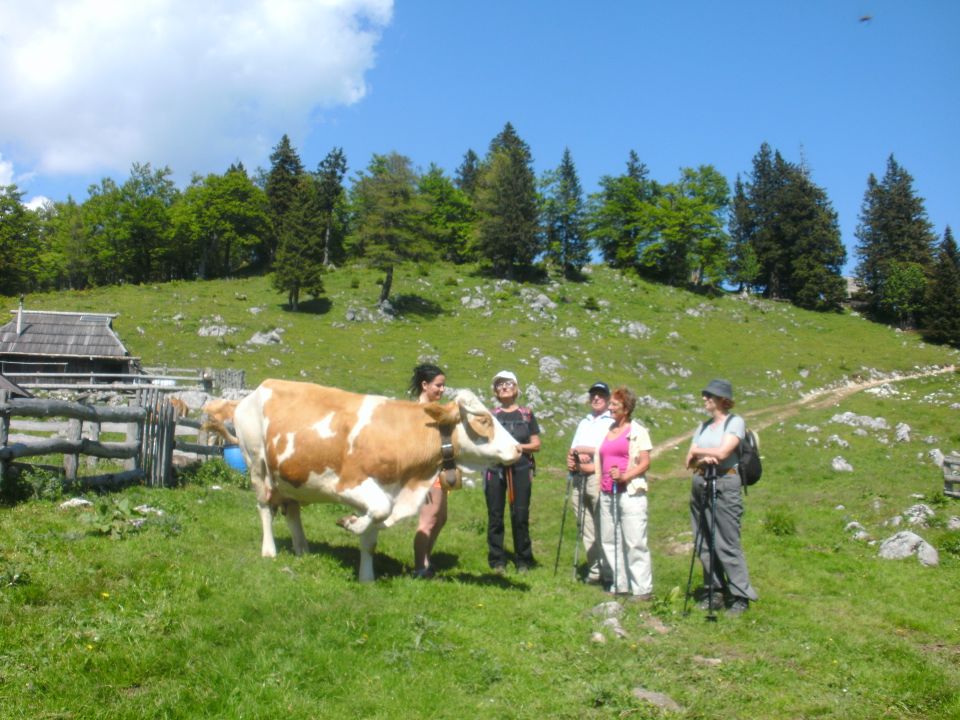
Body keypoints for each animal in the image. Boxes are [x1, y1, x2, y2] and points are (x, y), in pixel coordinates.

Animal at [232, 380, 520, 584]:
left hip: (290, 476)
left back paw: (302, 549)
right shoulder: (348, 484)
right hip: (256, 462)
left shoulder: (383, 491)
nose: (518, 448)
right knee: (264, 508)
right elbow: (380, 511)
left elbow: (371, 536)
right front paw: (350, 523)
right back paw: (269, 550)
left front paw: (366, 577)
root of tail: (261, 387)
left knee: (292, 511)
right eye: (484, 420)